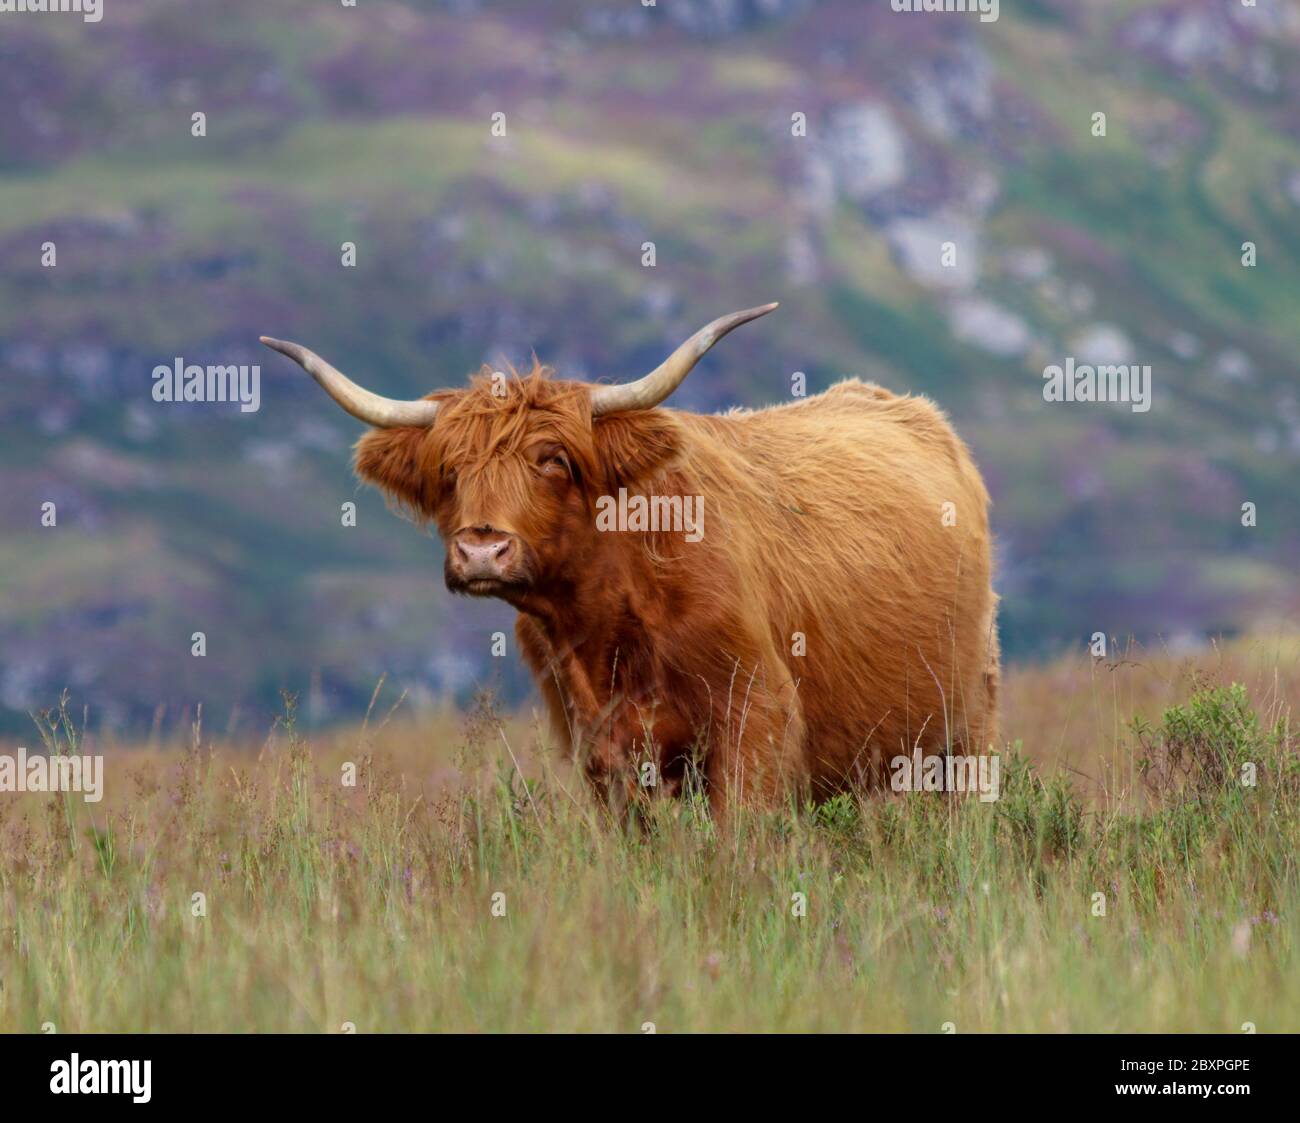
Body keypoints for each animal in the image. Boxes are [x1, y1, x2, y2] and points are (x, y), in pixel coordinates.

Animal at [261, 305, 1000, 815]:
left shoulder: (756, 720)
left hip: (968, 723)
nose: (481, 548)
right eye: (449, 468)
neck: (612, 616)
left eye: (553, 459)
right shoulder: (603, 753)